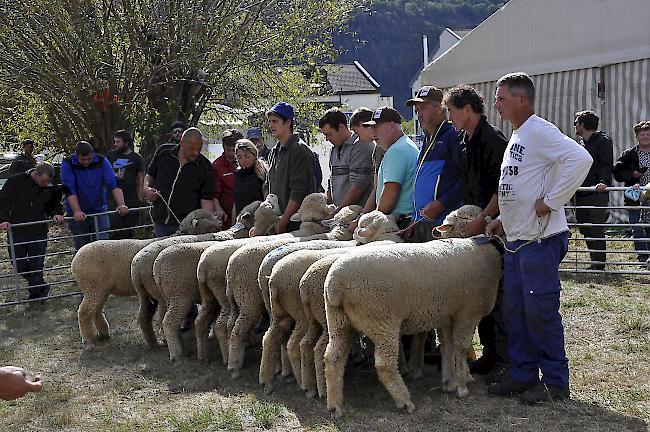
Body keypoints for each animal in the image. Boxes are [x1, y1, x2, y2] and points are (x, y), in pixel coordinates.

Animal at [72, 209, 220, 348]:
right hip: (94, 287)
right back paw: (88, 342)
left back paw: (104, 334)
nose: (219, 218)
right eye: (206, 217)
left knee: (96, 310)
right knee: (84, 312)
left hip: (101, 289)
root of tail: (75, 261)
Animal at [322, 207, 498, 418]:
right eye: (467, 218)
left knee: (333, 358)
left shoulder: (446, 315)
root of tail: (335, 284)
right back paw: (405, 401)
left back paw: (335, 405)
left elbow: (447, 347)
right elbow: (461, 347)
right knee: (384, 365)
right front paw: (463, 386)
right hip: (382, 322)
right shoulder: (468, 312)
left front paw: (450, 382)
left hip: (338, 321)